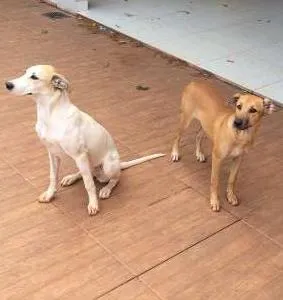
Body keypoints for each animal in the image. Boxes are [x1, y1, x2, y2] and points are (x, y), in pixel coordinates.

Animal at [6, 65, 164, 216]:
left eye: (34, 77)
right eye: (25, 72)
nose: (7, 84)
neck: (50, 114)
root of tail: (119, 164)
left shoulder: (79, 155)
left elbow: (89, 185)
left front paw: (93, 205)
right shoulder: (53, 153)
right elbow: (53, 176)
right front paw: (50, 194)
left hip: (106, 166)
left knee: (113, 178)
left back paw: (106, 189)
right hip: (82, 161)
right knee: (87, 173)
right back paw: (71, 177)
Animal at [171, 79, 276, 211]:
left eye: (253, 110)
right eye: (239, 106)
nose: (237, 122)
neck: (239, 136)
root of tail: (194, 82)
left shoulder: (238, 159)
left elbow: (232, 179)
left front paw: (231, 196)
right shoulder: (217, 158)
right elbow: (214, 181)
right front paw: (214, 201)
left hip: (206, 125)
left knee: (198, 136)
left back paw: (199, 153)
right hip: (186, 119)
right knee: (177, 136)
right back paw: (175, 153)